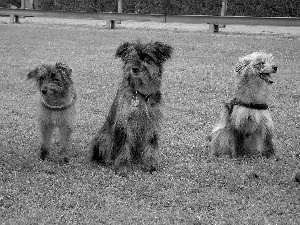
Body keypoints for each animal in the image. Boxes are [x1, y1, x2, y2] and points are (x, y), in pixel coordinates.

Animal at [90, 40, 172, 175]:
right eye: (130, 57)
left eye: (147, 58)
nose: (134, 68)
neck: (142, 95)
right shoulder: (124, 122)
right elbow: (123, 146)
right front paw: (122, 167)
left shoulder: (152, 123)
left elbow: (151, 144)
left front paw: (151, 165)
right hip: (104, 137)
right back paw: (107, 160)